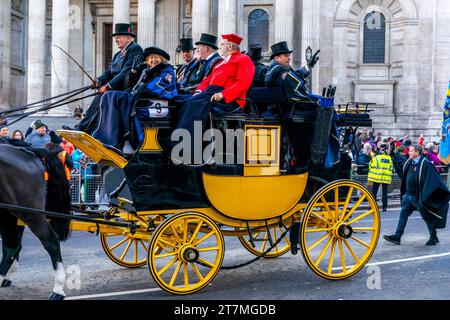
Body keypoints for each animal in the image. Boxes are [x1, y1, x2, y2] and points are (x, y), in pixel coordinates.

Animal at [0, 142, 71, 300]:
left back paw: (58, 289)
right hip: (9, 212)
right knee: (11, 245)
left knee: (50, 241)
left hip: (29, 212)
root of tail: (29, 153)